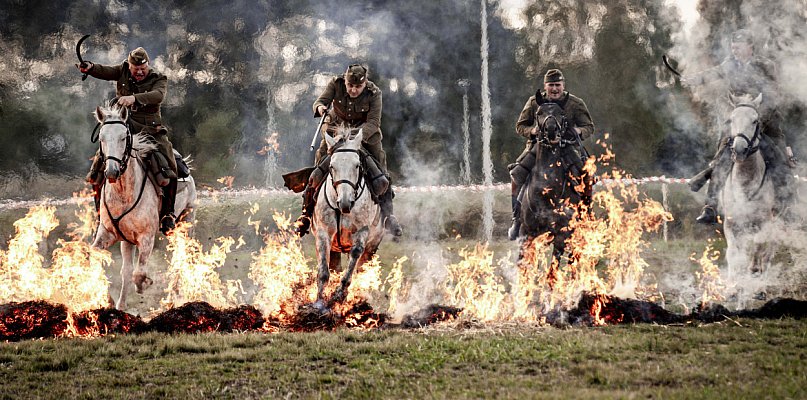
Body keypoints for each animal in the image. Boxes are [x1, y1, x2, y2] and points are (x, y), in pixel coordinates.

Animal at [91, 104, 197, 310]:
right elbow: (97, 261)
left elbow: (139, 274)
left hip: (184, 225)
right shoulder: (107, 233)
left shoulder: (146, 238)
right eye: (102, 138)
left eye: (124, 137)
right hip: (127, 241)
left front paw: (144, 284)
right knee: (126, 270)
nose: (112, 172)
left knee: (179, 260)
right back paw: (121, 305)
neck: (123, 193)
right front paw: (109, 300)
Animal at [310, 128, 384, 310]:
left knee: (361, 269)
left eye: (357, 165)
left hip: (372, 245)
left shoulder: (361, 233)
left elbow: (353, 260)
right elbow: (323, 271)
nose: (345, 202)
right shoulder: (323, 233)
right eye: (331, 166)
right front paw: (319, 303)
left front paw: (340, 293)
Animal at [724, 93, 780, 278]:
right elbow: (733, 253)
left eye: (755, 121)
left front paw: (754, 269)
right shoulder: (730, 224)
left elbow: (757, 248)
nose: (739, 150)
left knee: (767, 253)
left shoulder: (763, 224)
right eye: (731, 119)